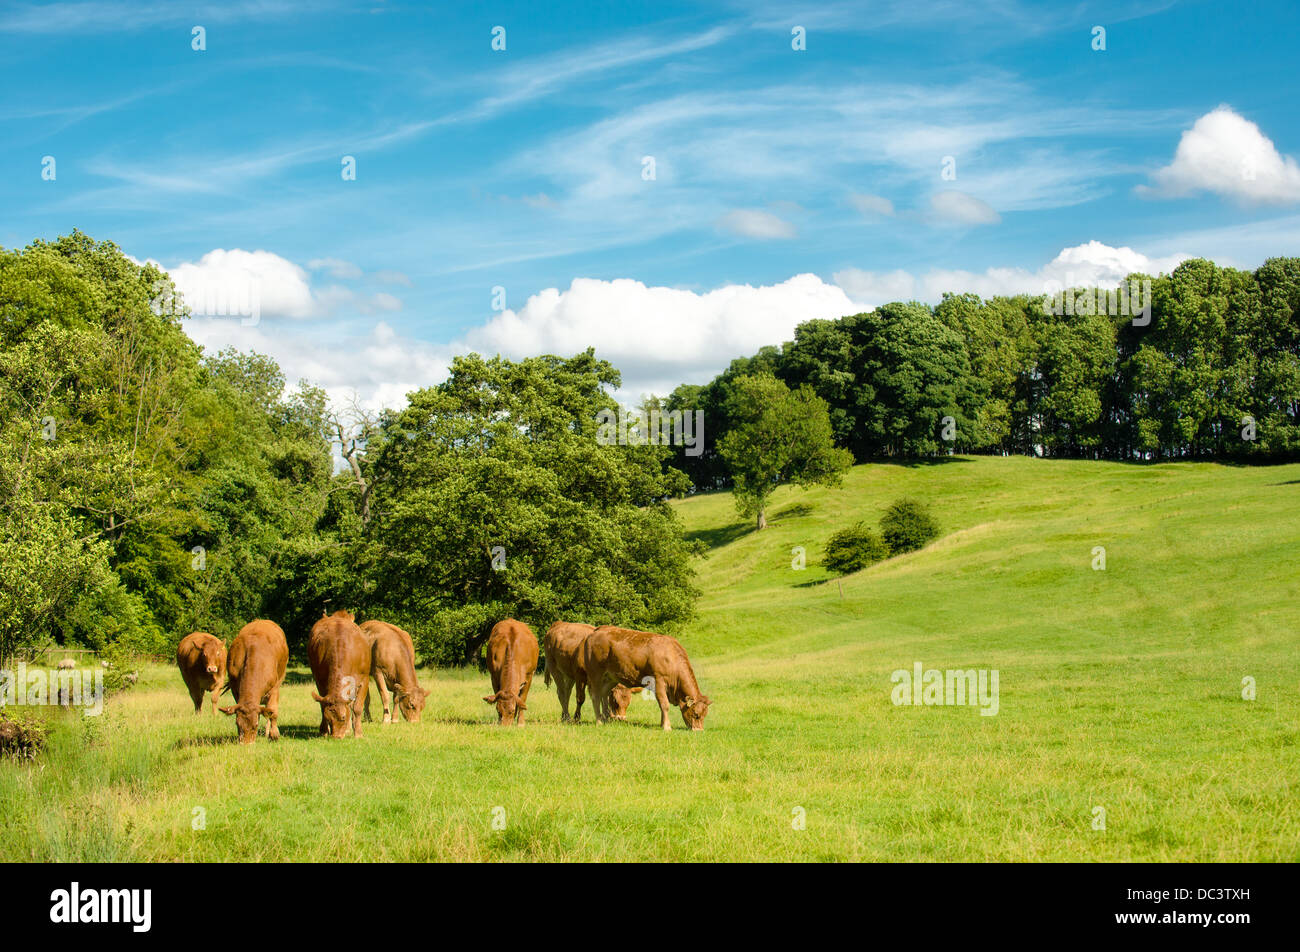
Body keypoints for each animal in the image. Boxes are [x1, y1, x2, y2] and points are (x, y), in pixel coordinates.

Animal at [219, 621, 288, 749]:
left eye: (255, 725)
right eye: (237, 724)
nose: (246, 744)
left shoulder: (274, 689)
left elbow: (273, 712)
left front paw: (274, 735)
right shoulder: (235, 689)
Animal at [312, 608, 374, 738]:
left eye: (343, 717)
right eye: (328, 719)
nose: (336, 737)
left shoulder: (364, 679)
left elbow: (357, 708)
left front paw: (358, 733)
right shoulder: (319, 680)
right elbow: (322, 705)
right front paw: (324, 731)